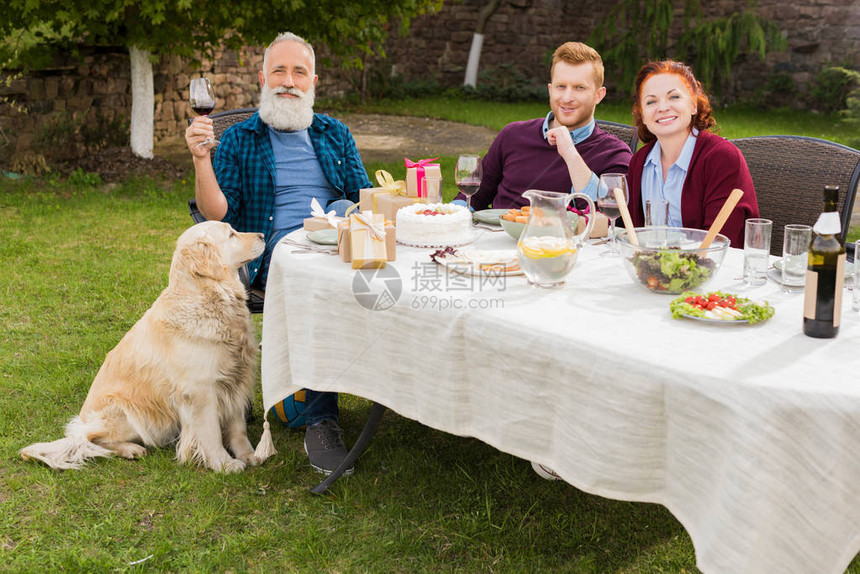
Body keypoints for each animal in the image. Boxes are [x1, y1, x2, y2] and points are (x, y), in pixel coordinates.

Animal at [22, 223, 266, 474]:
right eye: (231, 234)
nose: (262, 235)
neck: (209, 298)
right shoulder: (200, 391)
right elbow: (211, 433)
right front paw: (224, 464)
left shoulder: (235, 378)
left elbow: (238, 427)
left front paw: (249, 455)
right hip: (130, 412)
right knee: (91, 439)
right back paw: (130, 449)